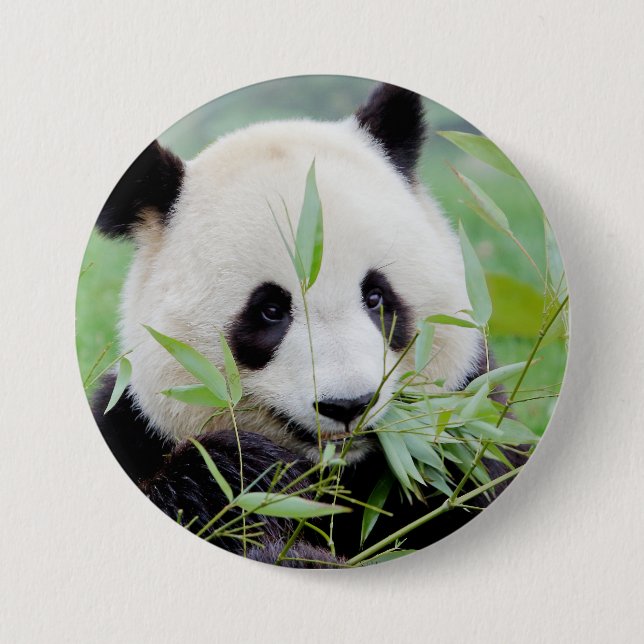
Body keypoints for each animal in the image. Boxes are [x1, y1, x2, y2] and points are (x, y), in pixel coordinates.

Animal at [93, 83, 526, 567]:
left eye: (375, 297)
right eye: (270, 311)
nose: (348, 404)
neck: (342, 476)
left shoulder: (471, 429)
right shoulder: (135, 430)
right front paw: (257, 475)